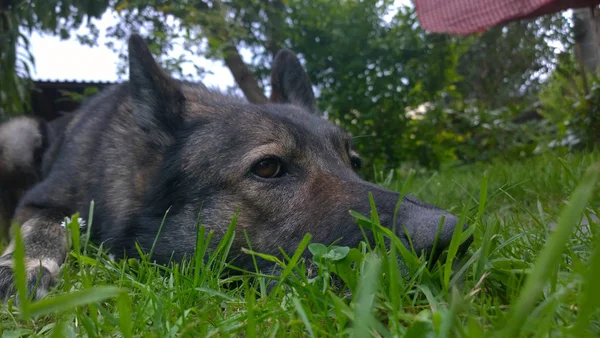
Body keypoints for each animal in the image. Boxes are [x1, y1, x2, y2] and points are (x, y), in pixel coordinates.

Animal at [0, 33, 472, 298]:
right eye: (267, 168)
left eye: (353, 162)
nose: (451, 236)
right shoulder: (41, 202)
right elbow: (42, 228)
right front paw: (26, 266)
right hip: (16, 134)